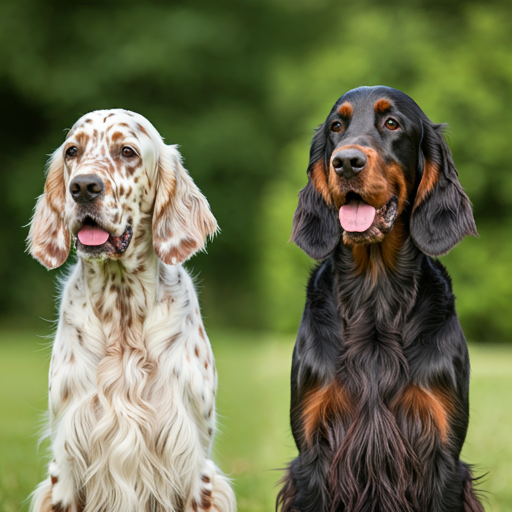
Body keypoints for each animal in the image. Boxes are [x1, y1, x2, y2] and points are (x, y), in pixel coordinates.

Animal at [27, 110, 237, 512]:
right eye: (72, 151)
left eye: (127, 151)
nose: (83, 187)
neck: (122, 312)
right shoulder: (65, 463)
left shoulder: (194, 463)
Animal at [278, 87, 482, 512]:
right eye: (336, 126)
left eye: (392, 123)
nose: (346, 162)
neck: (376, 298)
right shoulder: (314, 452)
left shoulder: (442, 453)